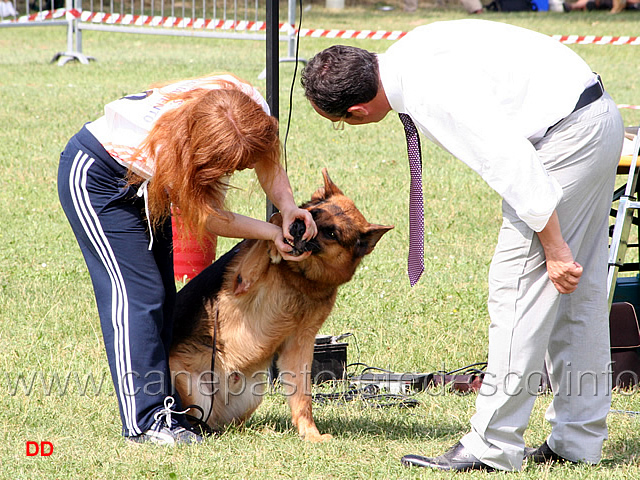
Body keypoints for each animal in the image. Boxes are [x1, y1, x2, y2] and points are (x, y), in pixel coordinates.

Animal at [168, 169, 392, 442]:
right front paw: (276, 240)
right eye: (313, 214)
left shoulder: (299, 344)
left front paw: (310, 434)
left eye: (331, 234)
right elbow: (273, 221)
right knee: (200, 423)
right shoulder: (242, 280)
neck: (300, 278)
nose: (297, 228)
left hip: (253, 393)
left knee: (225, 426)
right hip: (190, 386)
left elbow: (302, 398)